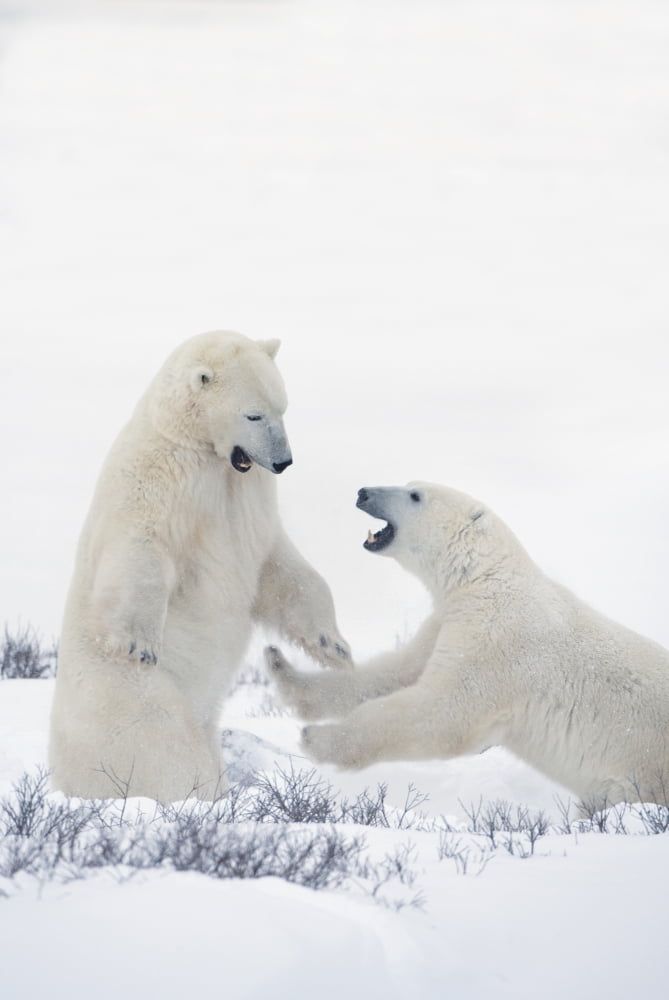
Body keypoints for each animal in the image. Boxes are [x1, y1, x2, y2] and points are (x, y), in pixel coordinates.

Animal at [49, 330, 350, 802]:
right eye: (253, 414)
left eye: (282, 408)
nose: (283, 462)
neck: (204, 454)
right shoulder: (157, 485)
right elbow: (139, 551)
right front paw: (138, 643)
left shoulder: (248, 507)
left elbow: (282, 568)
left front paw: (332, 646)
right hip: (136, 702)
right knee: (170, 749)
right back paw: (200, 794)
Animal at [265, 482, 669, 809]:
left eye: (415, 494)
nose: (363, 492)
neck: (486, 579)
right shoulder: (448, 621)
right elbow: (392, 674)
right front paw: (281, 668)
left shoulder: (500, 640)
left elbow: (443, 712)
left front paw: (317, 739)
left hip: (639, 773)